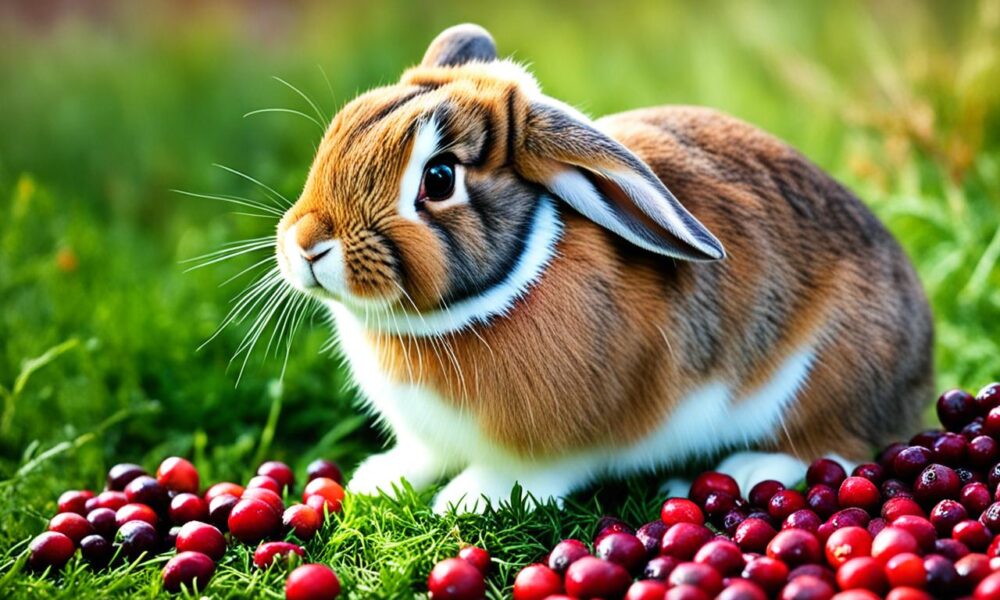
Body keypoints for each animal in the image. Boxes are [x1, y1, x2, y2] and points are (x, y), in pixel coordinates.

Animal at [274, 24, 933, 513]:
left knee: (840, 446)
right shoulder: (425, 433)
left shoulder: (556, 444)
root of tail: (919, 371)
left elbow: (528, 474)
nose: (307, 244)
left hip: (828, 384)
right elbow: (420, 454)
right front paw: (376, 479)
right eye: (345, 123)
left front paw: (467, 499)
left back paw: (751, 469)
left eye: (438, 179)